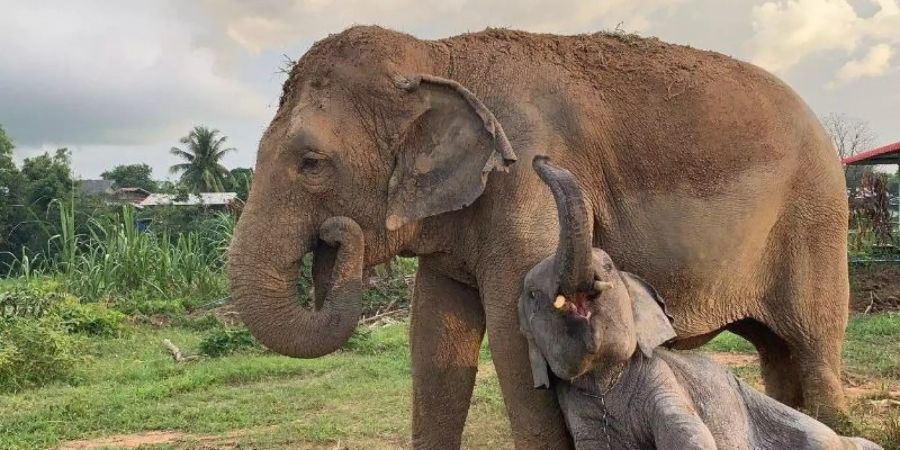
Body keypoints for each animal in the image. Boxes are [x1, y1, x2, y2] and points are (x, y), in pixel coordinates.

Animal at [520, 156, 880, 448]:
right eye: (532, 295)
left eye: (608, 266)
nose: (540, 159)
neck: (605, 379)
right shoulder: (578, 409)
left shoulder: (661, 378)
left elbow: (685, 430)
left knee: (820, 435)